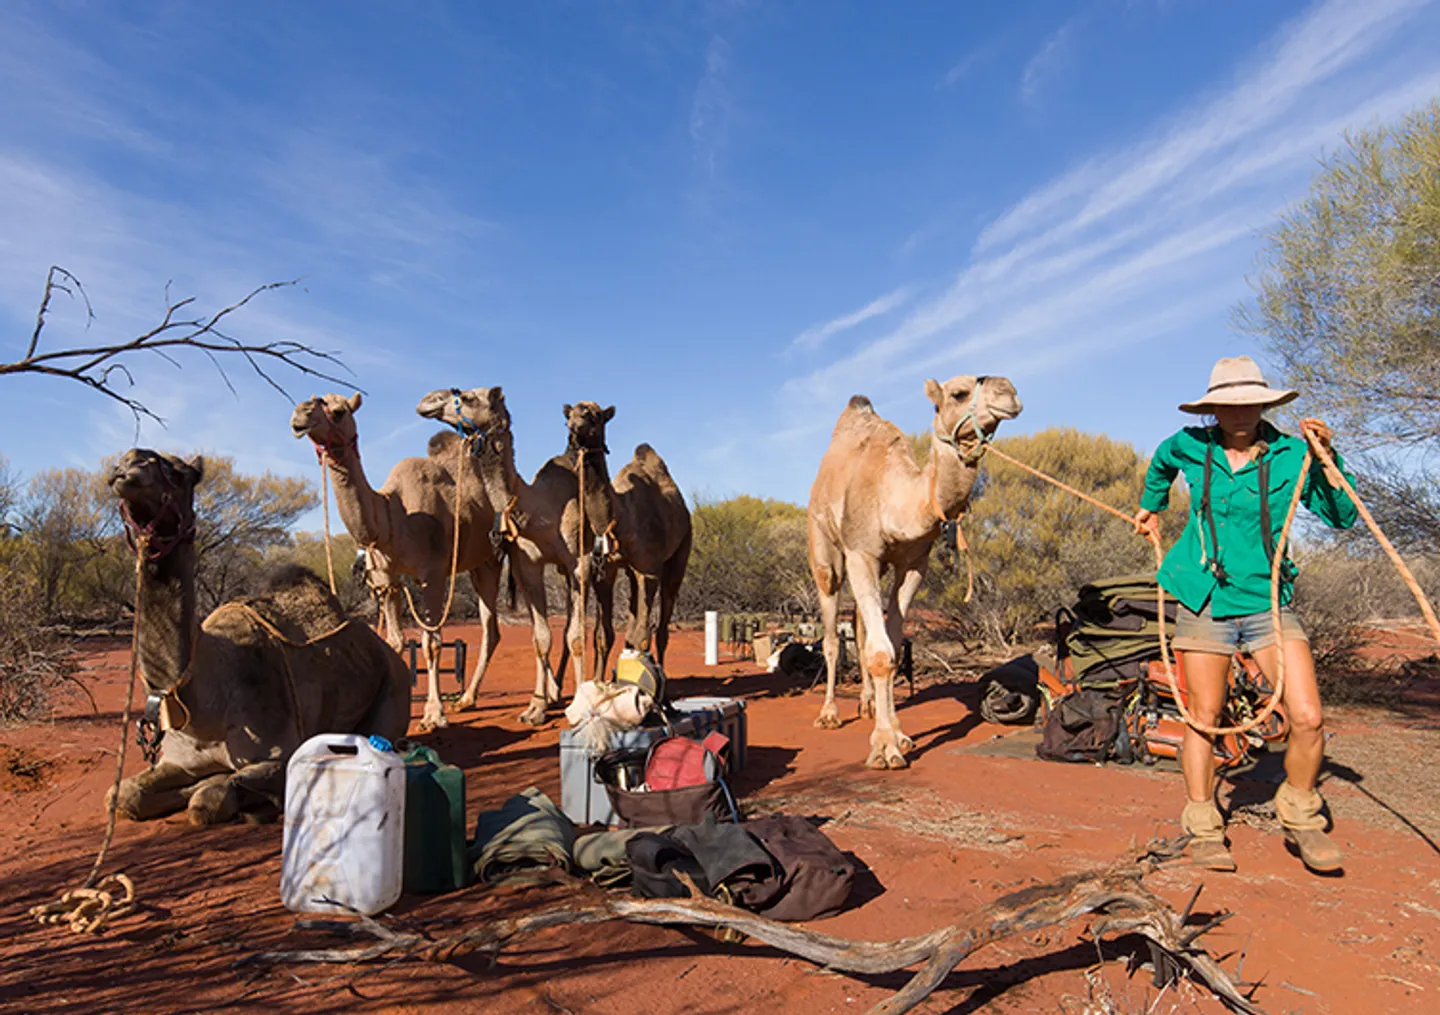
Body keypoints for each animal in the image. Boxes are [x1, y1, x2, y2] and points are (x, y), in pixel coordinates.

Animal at [105, 449, 410, 824]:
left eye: (178, 474)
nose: (129, 465)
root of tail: (390, 654)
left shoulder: (281, 752)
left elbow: (208, 800)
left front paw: (230, 793)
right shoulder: (178, 760)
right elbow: (123, 794)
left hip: (392, 695)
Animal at [291, 392, 504, 730]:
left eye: (338, 412)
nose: (300, 415)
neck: (393, 516)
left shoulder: (432, 575)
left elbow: (431, 644)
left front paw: (433, 715)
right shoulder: (386, 580)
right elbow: (394, 641)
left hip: (492, 558)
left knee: (492, 625)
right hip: (476, 563)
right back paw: (467, 699)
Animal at [807, 375, 1022, 770]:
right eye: (958, 393)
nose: (1009, 392)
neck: (895, 498)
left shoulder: (913, 564)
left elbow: (891, 646)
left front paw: (898, 734)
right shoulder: (861, 553)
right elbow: (881, 654)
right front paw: (884, 748)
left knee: (859, 626)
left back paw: (867, 704)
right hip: (825, 550)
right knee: (830, 634)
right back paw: (829, 714)